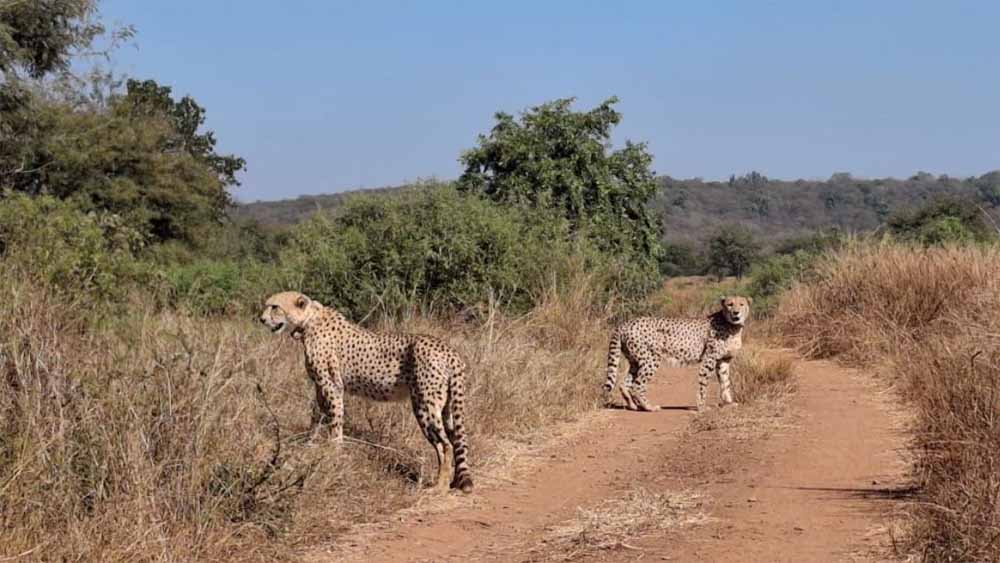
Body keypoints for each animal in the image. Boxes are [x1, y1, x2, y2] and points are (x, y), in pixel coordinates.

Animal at [262, 290, 472, 494]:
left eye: (275, 307)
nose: (262, 319)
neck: (308, 321)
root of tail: (450, 351)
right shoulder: (320, 387)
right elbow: (317, 416)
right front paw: (310, 442)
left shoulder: (332, 386)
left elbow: (335, 420)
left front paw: (334, 452)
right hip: (446, 407)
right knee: (456, 440)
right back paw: (454, 482)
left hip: (424, 404)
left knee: (445, 444)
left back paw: (440, 487)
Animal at [600, 298, 752, 412]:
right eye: (730, 304)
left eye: (741, 304)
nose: (736, 313)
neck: (732, 326)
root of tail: (626, 323)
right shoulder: (709, 359)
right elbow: (703, 384)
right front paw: (702, 407)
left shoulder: (724, 360)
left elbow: (725, 383)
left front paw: (729, 403)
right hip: (651, 359)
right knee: (637, 385)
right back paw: (649, 407)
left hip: (635, 360)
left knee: (624, 383)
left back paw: (633, 406)